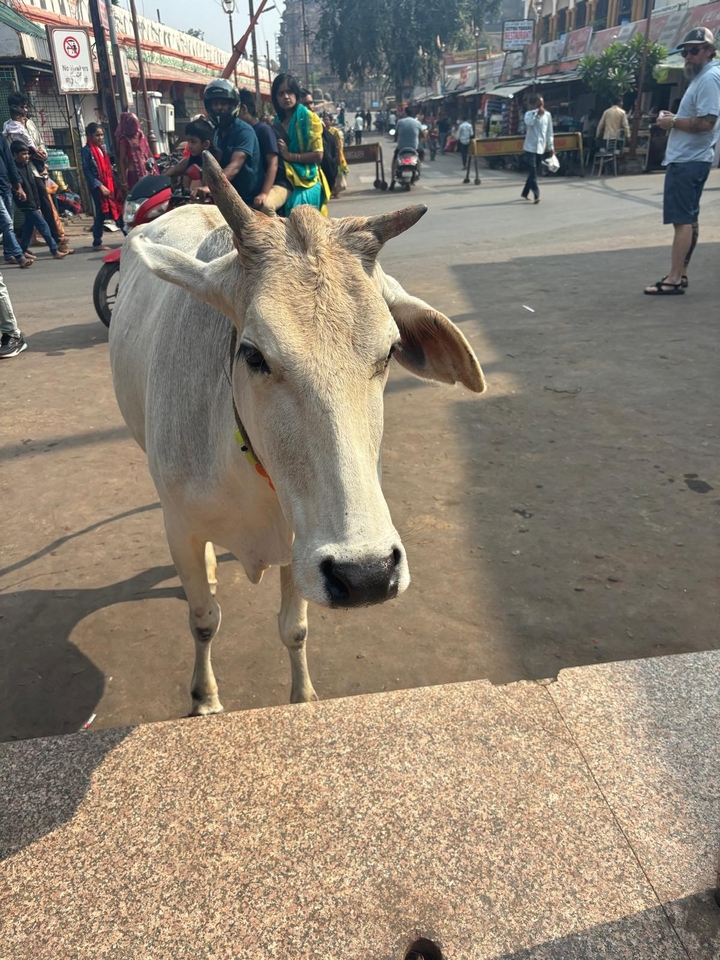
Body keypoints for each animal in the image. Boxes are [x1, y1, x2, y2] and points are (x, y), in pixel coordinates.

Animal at [109, 153, 485, 717]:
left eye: (391, 351)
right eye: (253, 354)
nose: (367, 574)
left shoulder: (299, 546)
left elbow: (294, 630)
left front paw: (303, 700)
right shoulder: (179, 528)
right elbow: (204, 621)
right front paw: (204, 700)